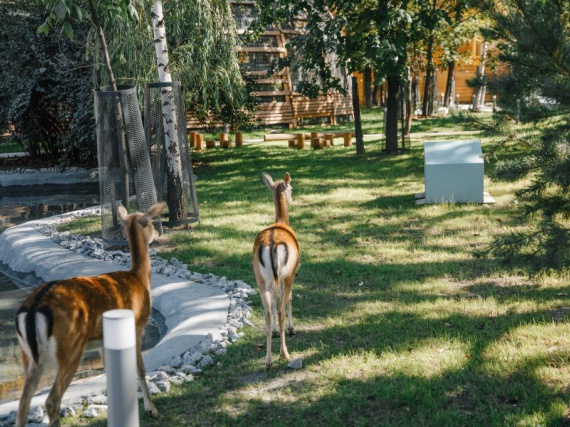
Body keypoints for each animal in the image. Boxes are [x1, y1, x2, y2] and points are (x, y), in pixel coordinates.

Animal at [14, 202, 164, 426]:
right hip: (70, 345)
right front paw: (152, 409)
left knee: (23, 402)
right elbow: (140, 368)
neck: (139, 278)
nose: (157, 233)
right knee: (51, 400)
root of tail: (34, 307)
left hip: (29, 354)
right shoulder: (137, 326)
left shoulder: (103, 341)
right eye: (152, 222)